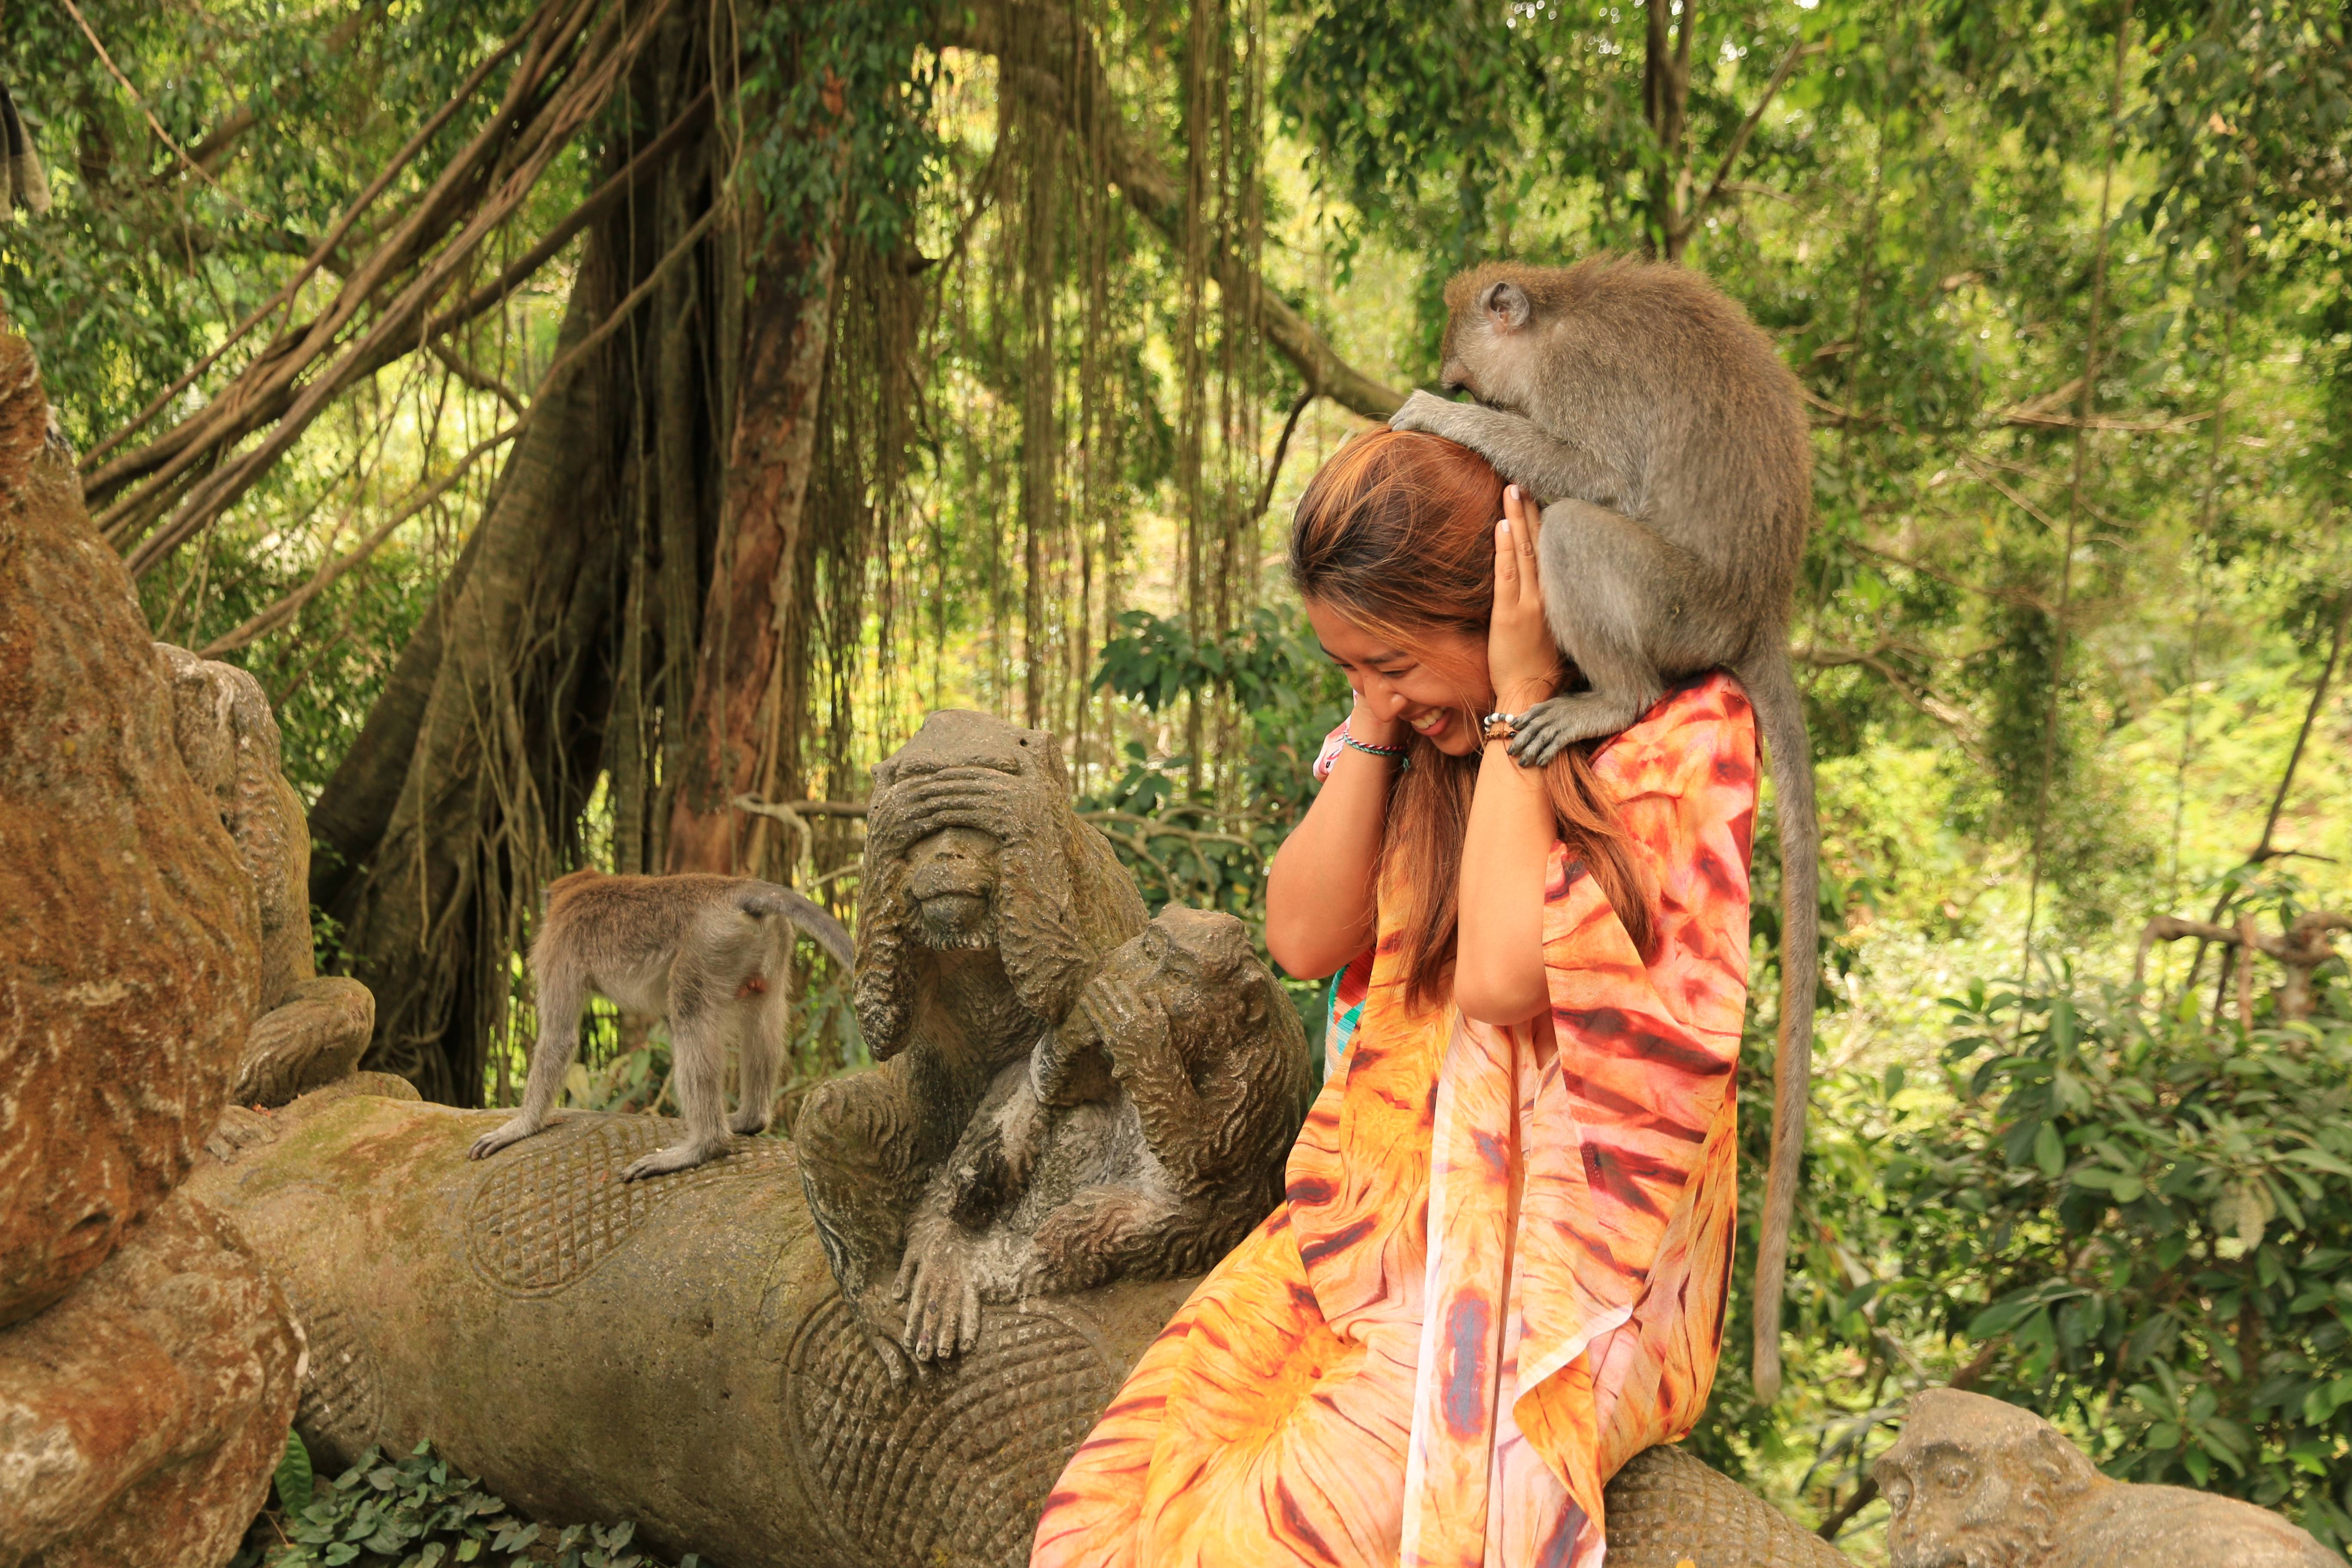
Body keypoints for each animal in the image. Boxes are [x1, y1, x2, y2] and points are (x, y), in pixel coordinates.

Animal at [468, 870, 855, 1182]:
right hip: (766, 945)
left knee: (690, 1018)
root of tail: (736, 888)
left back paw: (704, 1147)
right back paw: (750, 1120)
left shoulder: (558, 947)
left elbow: (559, 1038)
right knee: (762, 1019)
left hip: (709, 946)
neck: (583, 888)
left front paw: (521, 1127)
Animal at [1386, 255, 1818, 1401]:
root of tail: (1757, 611)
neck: (1552, 312)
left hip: (1677, 605)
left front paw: (1434, 415)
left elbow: (1590, 472)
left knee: (1582, 524)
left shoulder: (1577, 383)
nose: (1461, 385)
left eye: (1464, 364)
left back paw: (1609, 695)